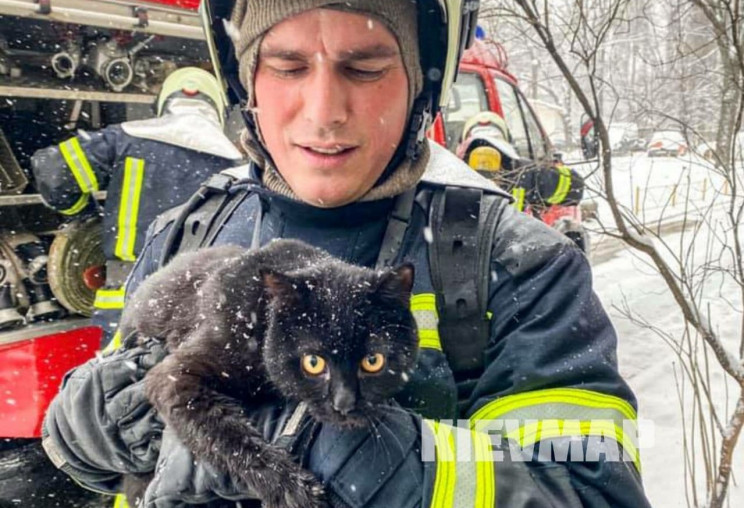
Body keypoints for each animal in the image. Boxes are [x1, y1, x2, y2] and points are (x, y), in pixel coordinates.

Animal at [119, 239, 416, 508]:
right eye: (313, 362)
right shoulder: (173, 376)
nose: (344, 403)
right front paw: (293, 489)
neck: (260, 322)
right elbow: (228, 432)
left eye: (373, 361)